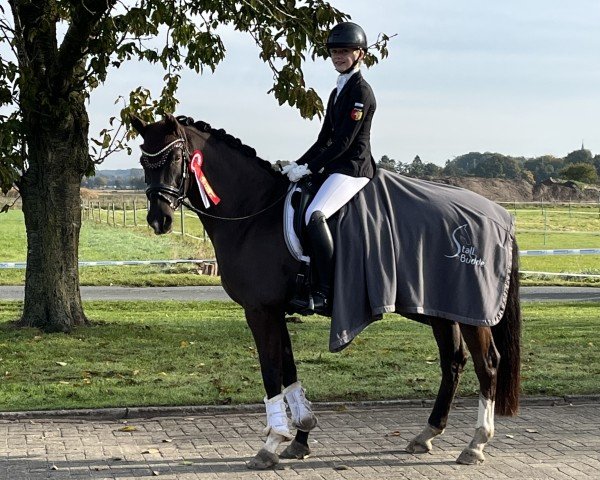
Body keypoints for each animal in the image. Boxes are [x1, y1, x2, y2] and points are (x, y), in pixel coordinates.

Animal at [131, 113, 520, 468]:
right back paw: (426, 435)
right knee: (453, 361)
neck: (254, 213)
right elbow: (288, 371)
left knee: (488, 363)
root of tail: (499, 214)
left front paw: (271, 444)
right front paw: (300, 435)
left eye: (175, 159)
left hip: (471, 313)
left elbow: (271, 372)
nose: (159, 219)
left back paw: (475, 444)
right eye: (144, 162)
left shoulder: (260, 310)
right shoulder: (276, 309)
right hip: (441, 309)